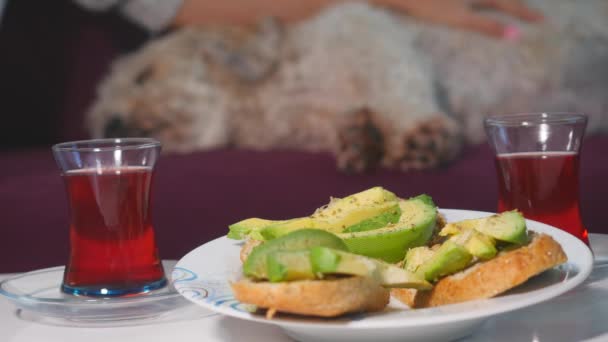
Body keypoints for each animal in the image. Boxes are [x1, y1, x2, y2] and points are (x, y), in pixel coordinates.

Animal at [89, 0, 608, 171]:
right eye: (97, 123)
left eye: (144, 74)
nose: (111, 122)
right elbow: (365, 122)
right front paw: (364, 137)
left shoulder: (378, 38)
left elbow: (403, 92)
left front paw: (425, 138)